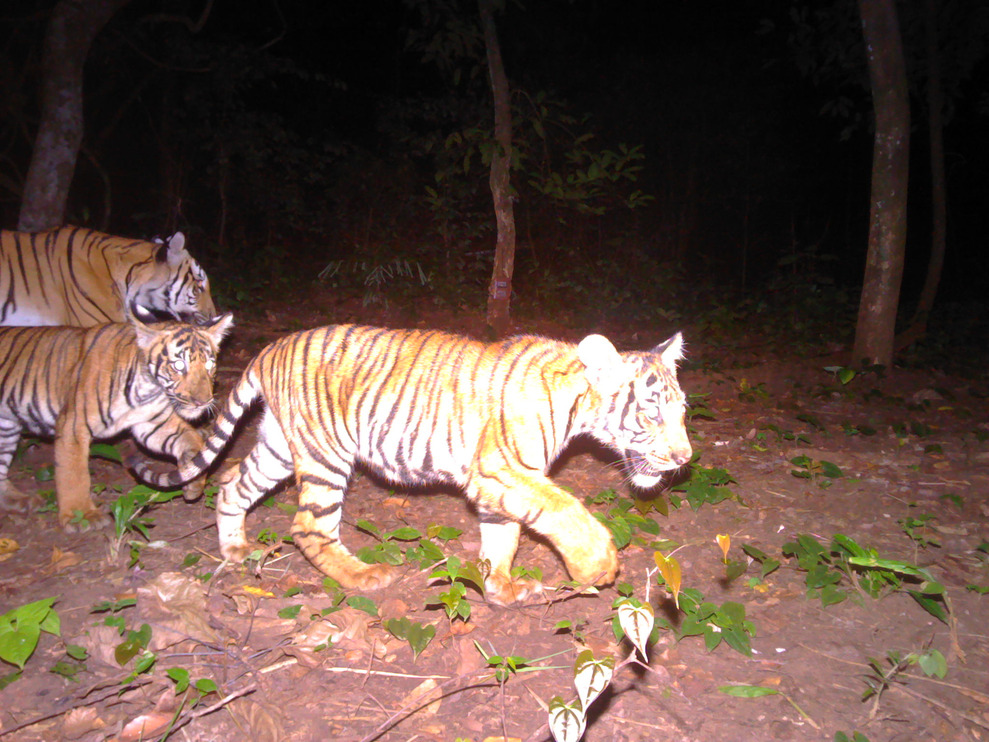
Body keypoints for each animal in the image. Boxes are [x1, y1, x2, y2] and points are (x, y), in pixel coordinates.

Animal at [0, 311, 233, 530]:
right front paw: (81, 516)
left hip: (6, 428)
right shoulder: (72, 426)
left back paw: (19, 501)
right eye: (178, 365)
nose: (203, 401)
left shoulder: (153, 424)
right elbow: (73, 474)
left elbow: (192, 439)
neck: (146, 389)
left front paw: (193, 481)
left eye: (210, 364)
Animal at [130, 324, 692, 605]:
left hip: (278, 447)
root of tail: (271, 347)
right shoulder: (502, 469)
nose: (685, 458)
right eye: (652, 412)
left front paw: (501, 587)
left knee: (230, 484)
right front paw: (596, 565)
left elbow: (502, 536)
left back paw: (234, 551)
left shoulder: (501, 483)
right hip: (325, 455)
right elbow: (563, 508)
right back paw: (363, 577)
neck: (576, 403)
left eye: (684, 411)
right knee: (308, 526)